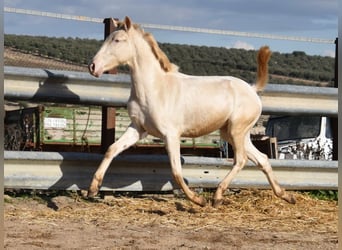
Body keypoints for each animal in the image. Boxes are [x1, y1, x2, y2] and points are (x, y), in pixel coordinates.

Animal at [88, 16, 296, 207]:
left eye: (117, 40)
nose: (93, 67)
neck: (154, 89)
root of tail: (252, 89)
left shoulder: (171, 134)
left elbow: (176, 171)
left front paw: (198, 200)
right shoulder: (138, 129)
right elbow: (112, 149)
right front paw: (92, 189)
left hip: (237, 131)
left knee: (241, 160)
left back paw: (217, 197)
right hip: (233, 133)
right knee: (262, 159)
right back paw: (286, 195)